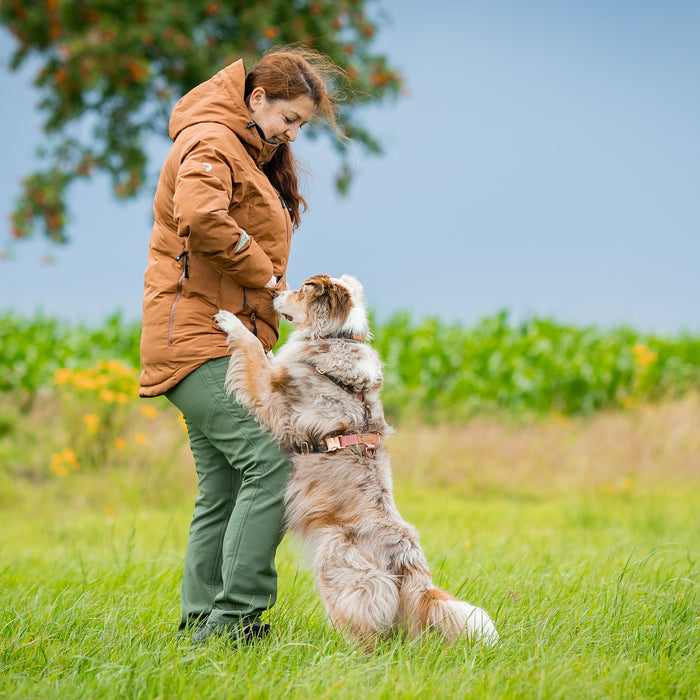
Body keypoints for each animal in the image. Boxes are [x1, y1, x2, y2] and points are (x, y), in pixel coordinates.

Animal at [213, 274, 498, 652]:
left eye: (300, 291)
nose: (274, 290)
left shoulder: (271, 393)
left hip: (337, 568)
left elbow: (254, 351)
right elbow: (265, 353)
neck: (337, 337)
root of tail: (407, 558)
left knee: (365, 633)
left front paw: (232, 321)